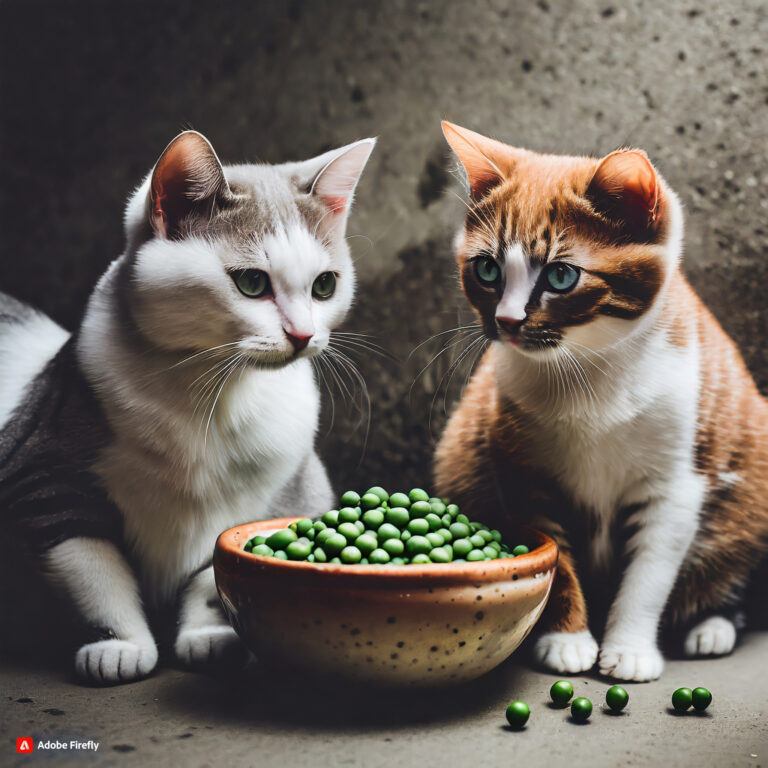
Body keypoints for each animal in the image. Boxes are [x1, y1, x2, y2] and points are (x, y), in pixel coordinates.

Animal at [0, 130, 376, 684]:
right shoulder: (43, 479)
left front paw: (208, 636)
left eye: (324, 285)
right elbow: (94, 573)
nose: (303, 334)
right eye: (251, 283)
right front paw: (119, 645)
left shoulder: (282, 490)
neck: (211, 394)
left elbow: (213, 571)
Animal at [436, 123, 764, 680]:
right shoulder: (524, 471)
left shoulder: (674, 485)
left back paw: (711, 625)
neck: (584, 370)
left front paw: (629, 648)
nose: (506, 321)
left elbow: (648, 576)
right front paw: (567, 639)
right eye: (487, 270)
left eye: (561, 276)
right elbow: (556, 559)